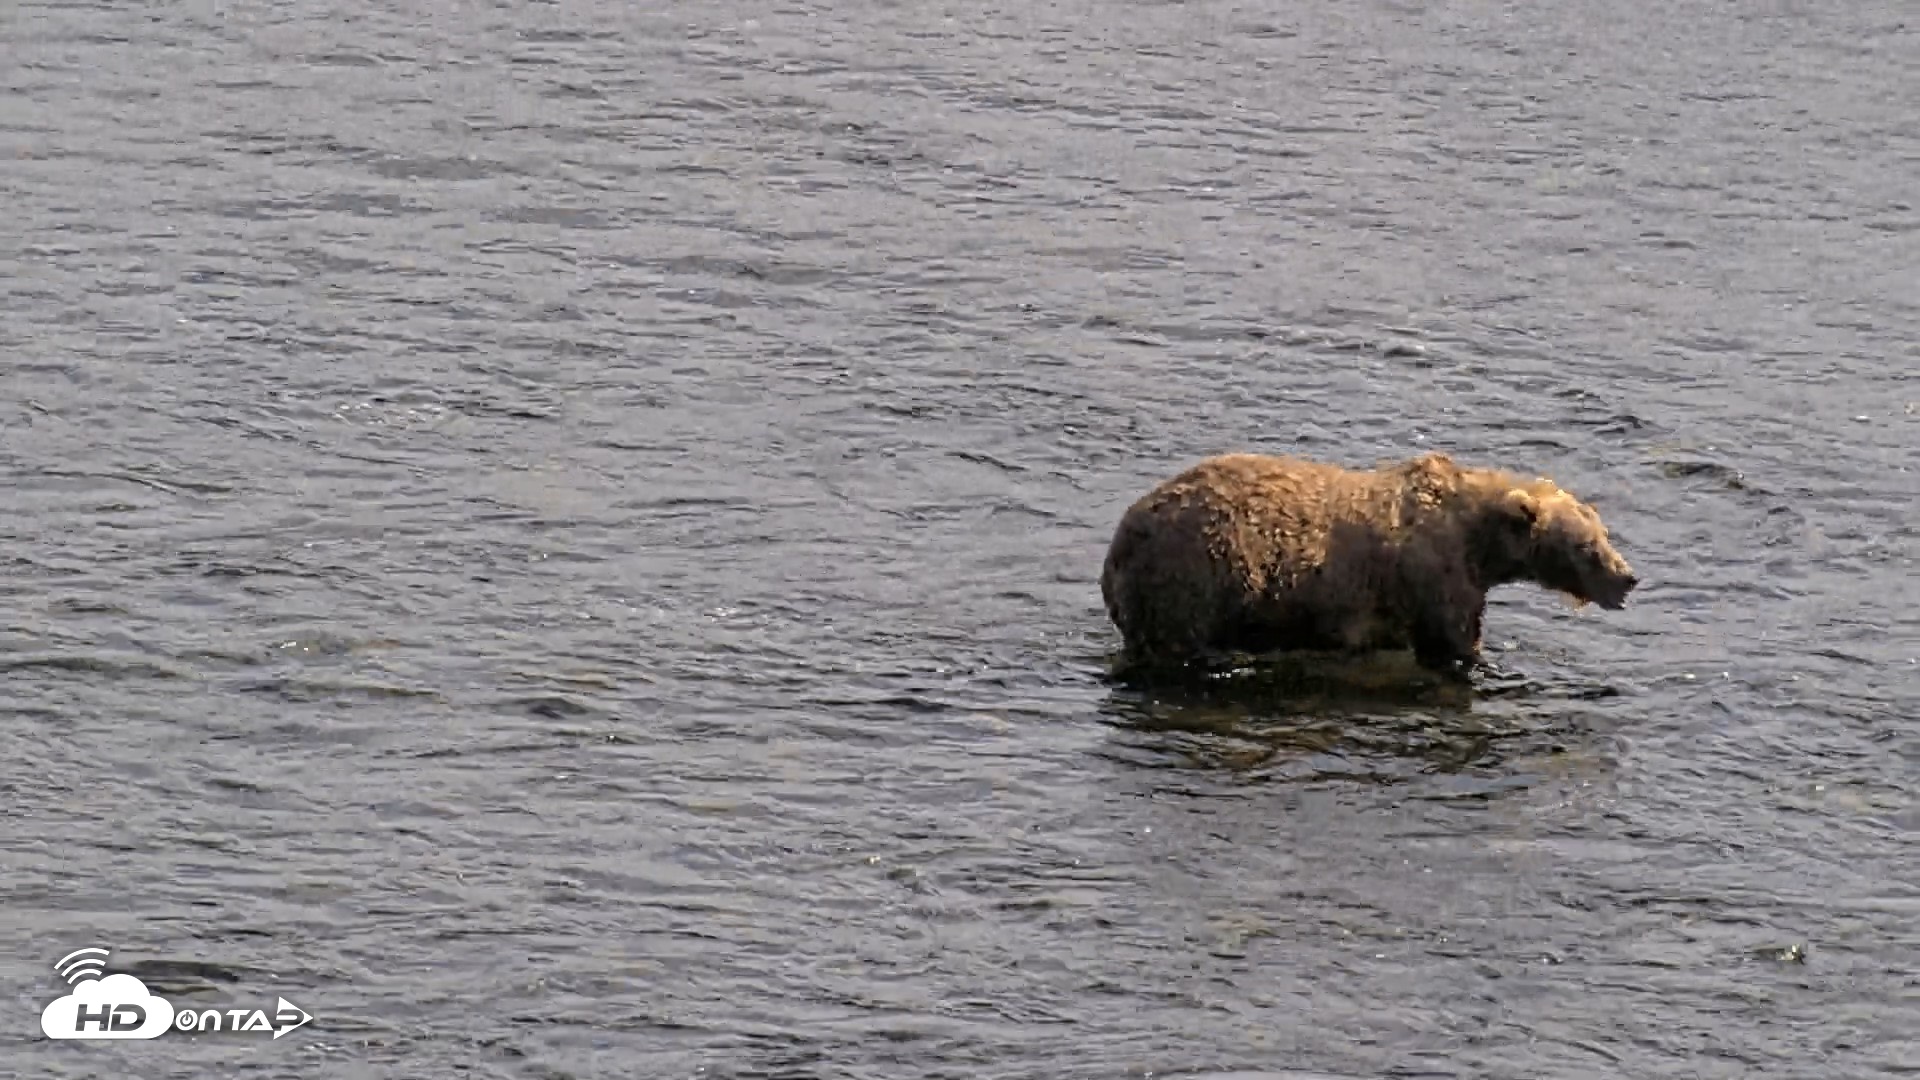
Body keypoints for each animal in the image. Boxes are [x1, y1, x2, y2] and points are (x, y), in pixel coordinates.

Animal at [1098, 450, 1637, 679]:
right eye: (1588, 546)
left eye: (1604, 534)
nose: (1627, 578)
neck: (1480, 545)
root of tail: (1119, 542)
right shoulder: (1435, 579)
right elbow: (1454, 641)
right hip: (1195, 576)